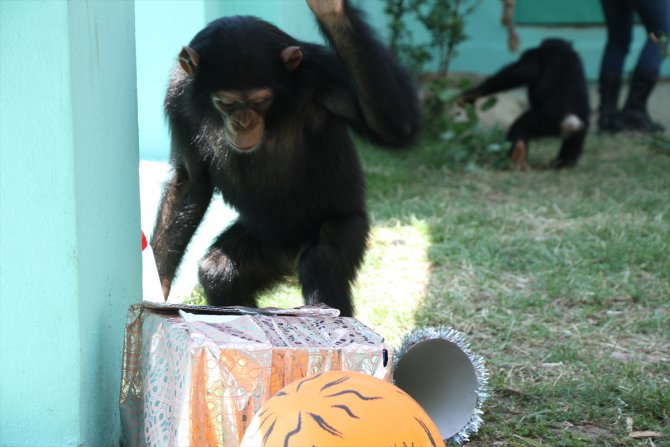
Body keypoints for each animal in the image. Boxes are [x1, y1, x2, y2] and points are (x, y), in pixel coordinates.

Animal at [152, 0, 420, 316]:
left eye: (260, 100)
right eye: (225, 102)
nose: (243, 122)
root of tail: (289, 261)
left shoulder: (324, 74)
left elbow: (393, 127)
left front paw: (331, 11)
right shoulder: (176, 94)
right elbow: (189, 181)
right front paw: (158, 285)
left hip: (350, 225)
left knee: (321, 260)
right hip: (266, 248)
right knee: (218, 271)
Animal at [460, 36, 592, 170]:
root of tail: (570, 120)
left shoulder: (533, 55)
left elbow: (520, 72)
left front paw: (471, 94)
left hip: (544, 121)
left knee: (518, 129)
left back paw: (514, 159)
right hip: (580, 128)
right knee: (574, 143)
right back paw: (563, 164)